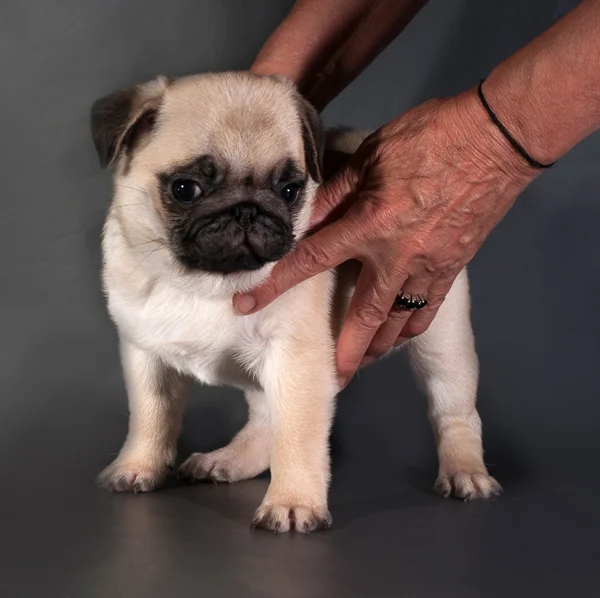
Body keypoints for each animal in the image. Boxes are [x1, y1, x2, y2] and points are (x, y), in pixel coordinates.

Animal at [90, 71, 502, 536]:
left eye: (289, 191)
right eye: (184, 189)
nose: (247, 211)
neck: (204, 284)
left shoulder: (297, 362)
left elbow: (296, 437)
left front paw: (292, 503)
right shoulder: (145, 354)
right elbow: (150, 415)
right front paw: (136, 467)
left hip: (441, 340)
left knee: (454, 410)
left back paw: (466, 472)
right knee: (262, 418)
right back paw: (229, 460)